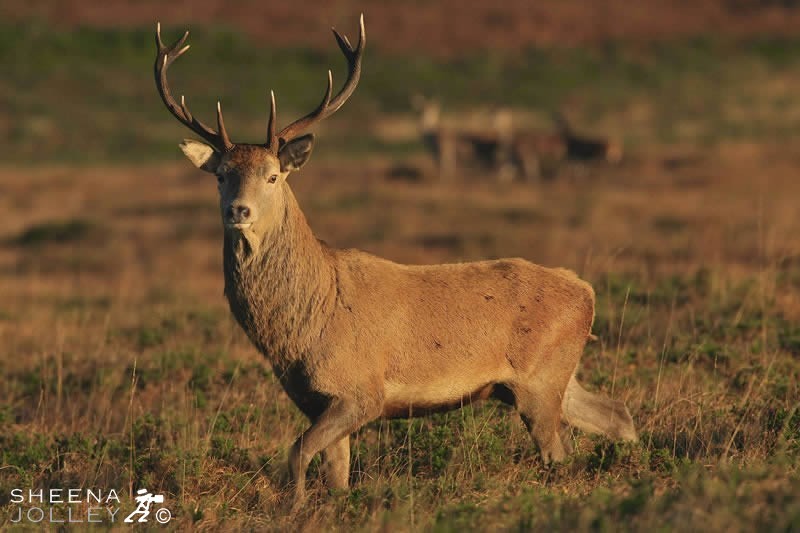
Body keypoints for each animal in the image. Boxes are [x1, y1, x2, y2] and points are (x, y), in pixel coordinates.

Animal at [154, 15, 637, 510]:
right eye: (221, 175)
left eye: (272, 176)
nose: (239, 210)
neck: (308, 320)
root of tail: (586, 292)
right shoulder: (317, 398)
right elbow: (336, 472)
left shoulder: (362, 390)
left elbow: (296, 453)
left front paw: (295, 507)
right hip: (553, 376)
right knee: (617, 414)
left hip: (539, 380)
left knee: (559, 451)